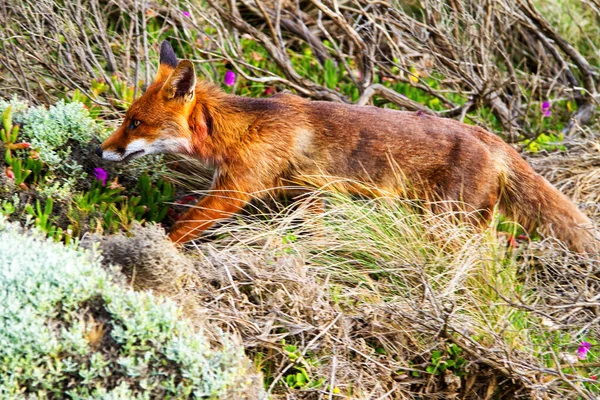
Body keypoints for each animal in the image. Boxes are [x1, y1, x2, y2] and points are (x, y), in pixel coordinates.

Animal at [96, 41, 596, 253]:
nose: (101, 151)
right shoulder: (309, 194)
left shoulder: (234, 191)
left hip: (447, 223)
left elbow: (182, 228)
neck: (242, 128)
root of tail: (491, 137)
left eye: (135, 122)